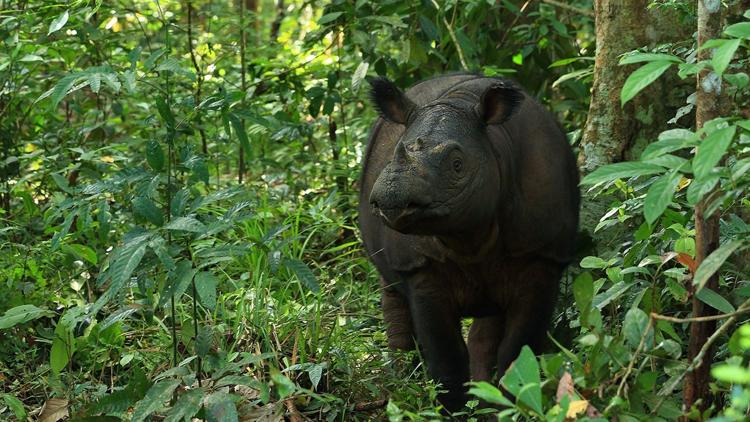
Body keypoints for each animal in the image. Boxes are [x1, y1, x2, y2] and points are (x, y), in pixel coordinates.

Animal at [358, 74, 580, 410]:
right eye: (397, 151)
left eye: (458, 164)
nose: (392, 196)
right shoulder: (421, 267)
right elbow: (445, 355)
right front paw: (454, 409)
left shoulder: (541, 255)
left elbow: (520, 347)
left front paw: (515, 403)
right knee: (390, 287)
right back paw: (400, 381)